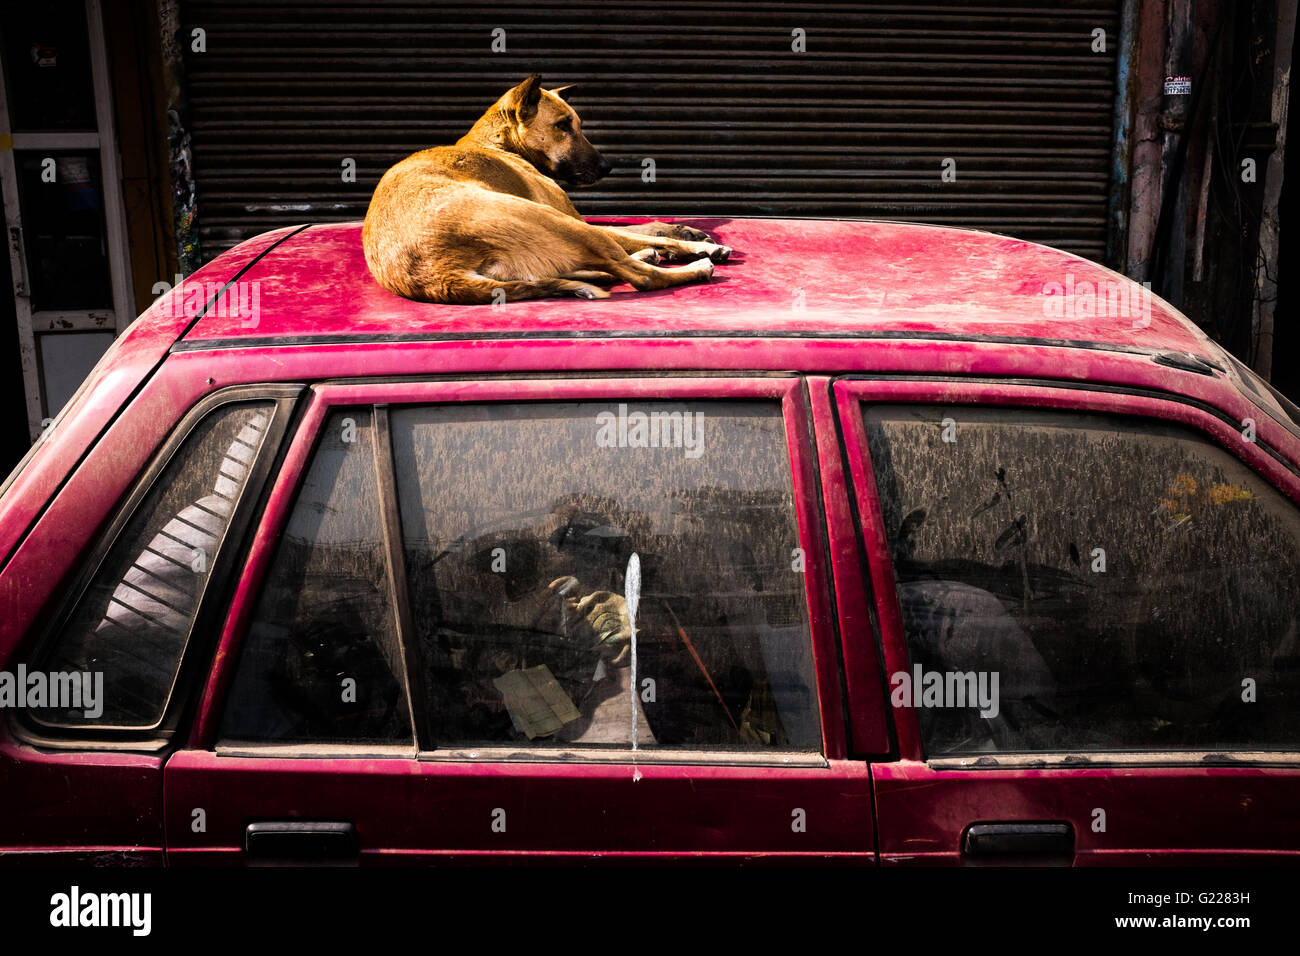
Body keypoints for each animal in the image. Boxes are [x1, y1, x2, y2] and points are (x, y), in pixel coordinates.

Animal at [364, 76, 733, 304]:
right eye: (563, 125)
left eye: (577, 124)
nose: (607, 167)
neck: (499, 143)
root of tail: (435, 275)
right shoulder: (570, 217)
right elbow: (633, 233)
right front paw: (694, 244)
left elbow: (639, 227)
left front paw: (683, 231)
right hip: (551, 219)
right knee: (639, 275)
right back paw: (694, 264)